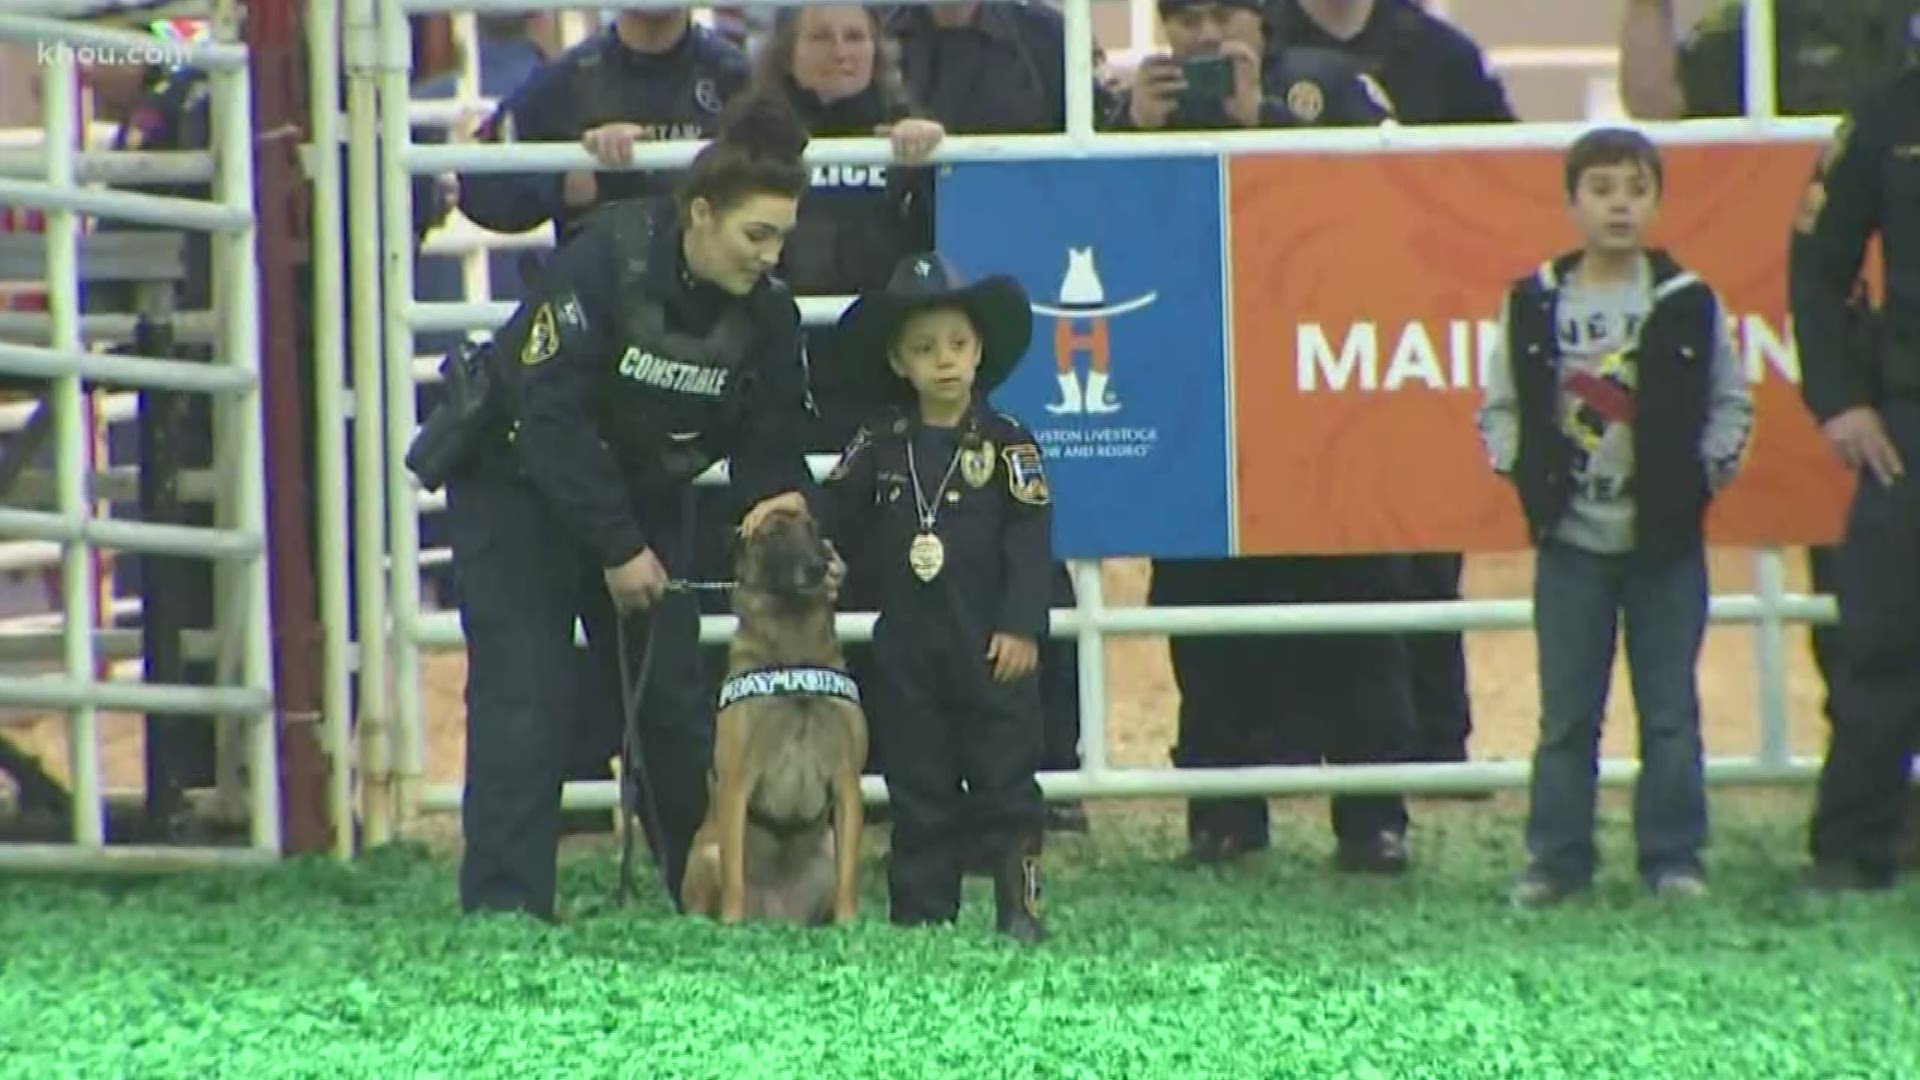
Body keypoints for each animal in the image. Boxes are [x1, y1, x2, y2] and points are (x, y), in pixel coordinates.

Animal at [683, 499, 871, 922]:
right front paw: (731, 926)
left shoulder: (847, 779)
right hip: (707, 854)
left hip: (827, 850)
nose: (819, 567)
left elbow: (850, 880)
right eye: (773, 535)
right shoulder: (736, 782)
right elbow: (734, 877)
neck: (793, 646)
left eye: (812, 529)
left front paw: (850, 926)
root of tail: (779, 916)